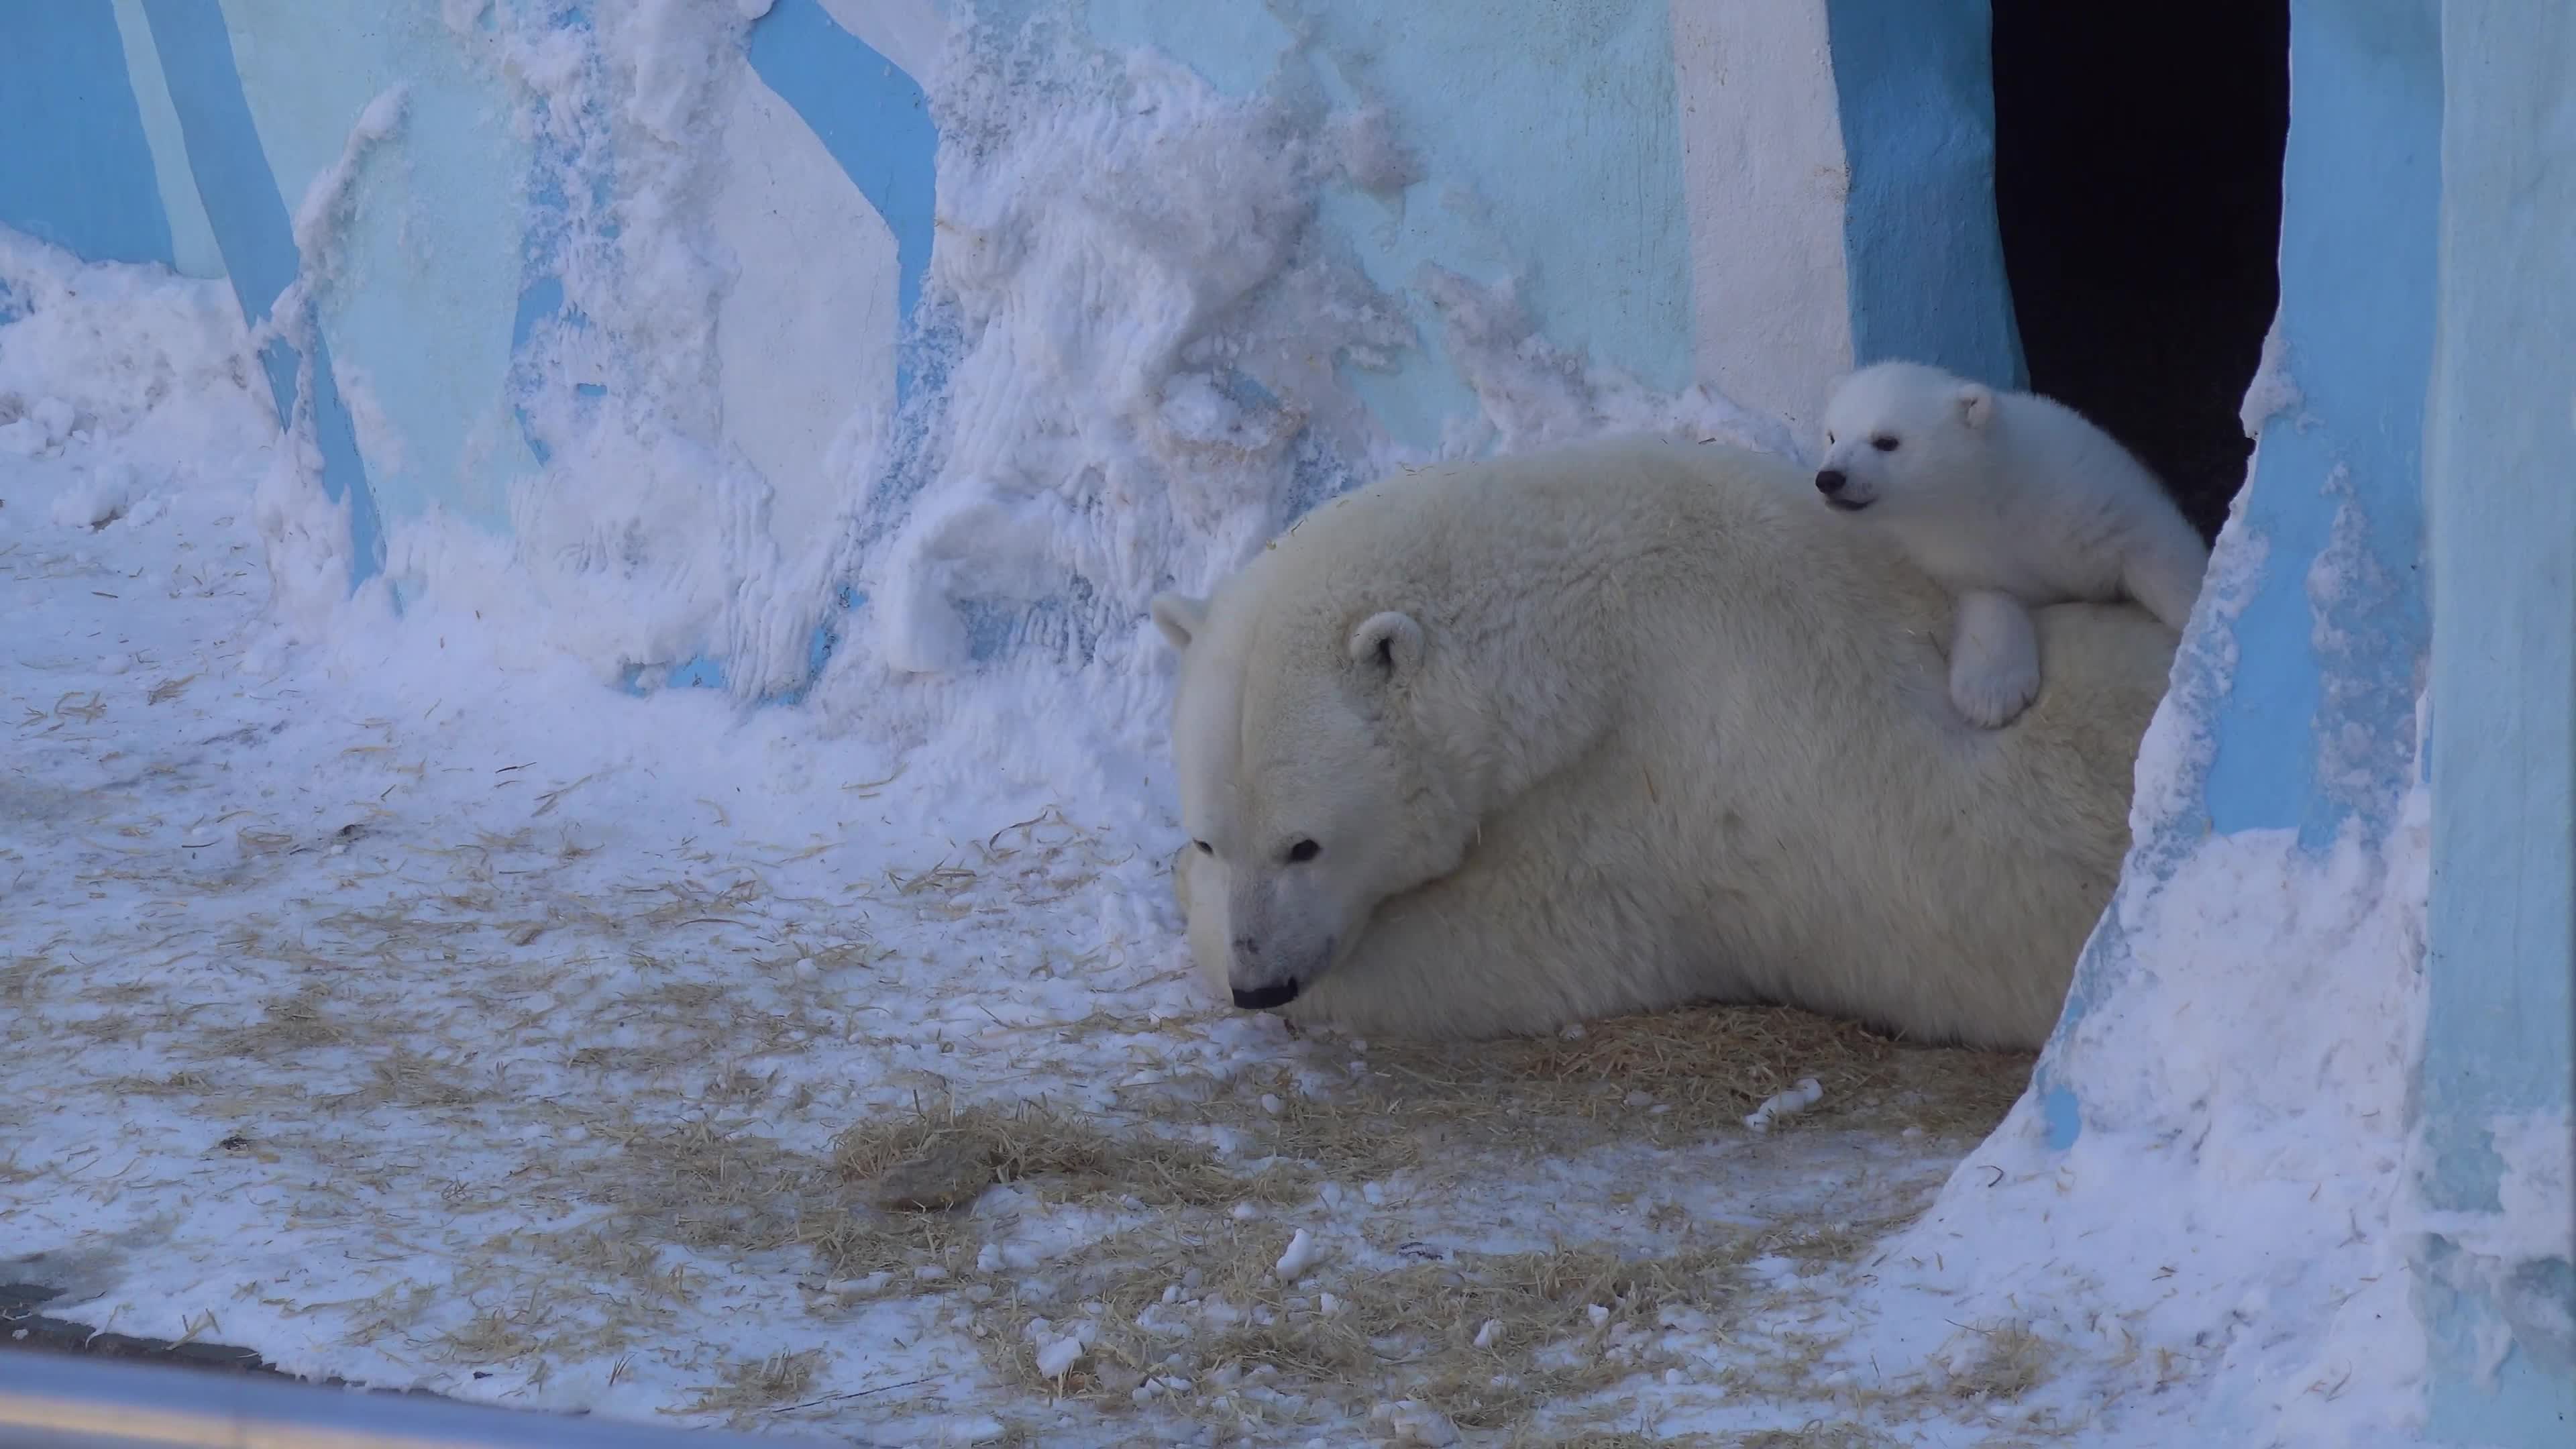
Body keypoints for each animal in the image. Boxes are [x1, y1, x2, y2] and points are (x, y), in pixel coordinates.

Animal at [1813, 356, 2215, 727]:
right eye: (1832, 435)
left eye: (1886, 441)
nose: (1829, 478)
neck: (1997, 490)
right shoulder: (1967, 551)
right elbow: (1991, 599)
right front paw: (1989, 694)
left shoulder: (2092, 493)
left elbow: (2160, 556)